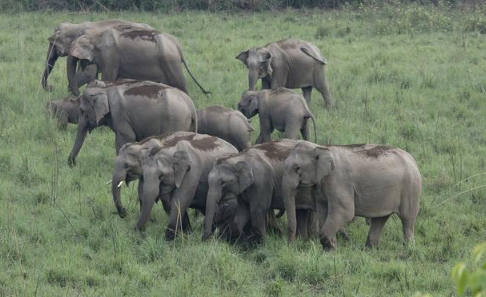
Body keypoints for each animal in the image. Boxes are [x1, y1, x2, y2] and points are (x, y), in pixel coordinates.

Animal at [65, 25, 208, 96]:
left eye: (73, 44)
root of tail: (177, 45)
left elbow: (107, 78)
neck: (97, 33)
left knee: (180, 83)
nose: (77, 94)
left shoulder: (110, 55)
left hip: (171, 61)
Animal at [68, 78, 197, 166]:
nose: (72, 164)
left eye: (82, 110)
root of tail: (191, 105)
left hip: (175, 121)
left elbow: (127, 137)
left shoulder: (120, 114)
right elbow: (118, 139)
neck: (106, 88)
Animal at [280, 141, 422, 250]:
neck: (322, 147)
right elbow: (323, 211)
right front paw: (331, 249)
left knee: (407, 219)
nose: (292, 246)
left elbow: (346, 212)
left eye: (297, 168)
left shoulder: (339, 182)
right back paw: (370, 249)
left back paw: (408, 249)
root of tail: (412, 159)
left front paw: (331, 248)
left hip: (411, 188)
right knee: (380, 218)